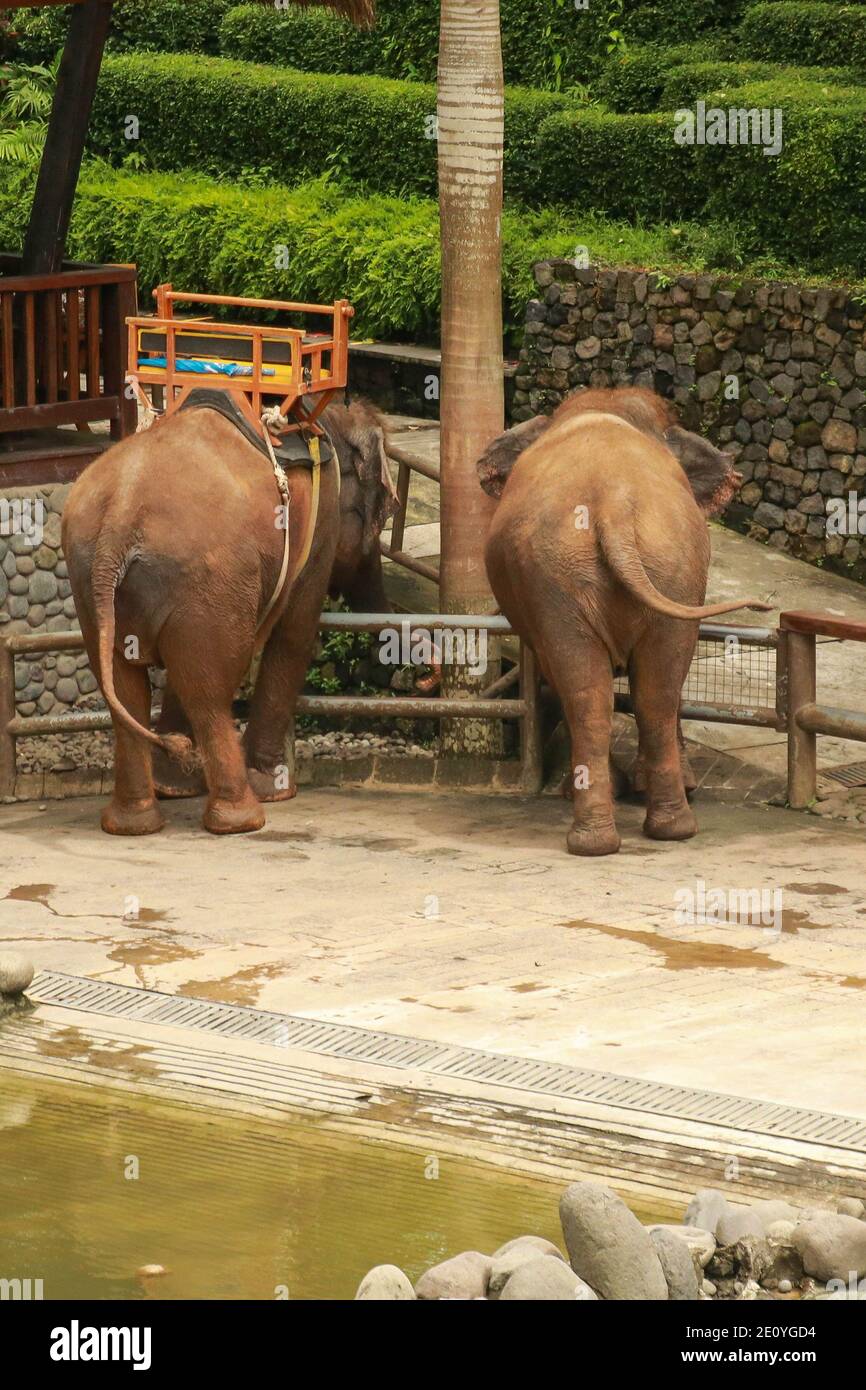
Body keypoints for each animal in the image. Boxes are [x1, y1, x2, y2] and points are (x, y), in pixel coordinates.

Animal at [62, 396, 397, 836]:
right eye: (382, 516)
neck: (326, 423)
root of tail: (118, 522)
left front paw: (176, 786)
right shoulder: (318, 522)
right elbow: (293, 633)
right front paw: (272, 788)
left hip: (94, 585)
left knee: (128, 689)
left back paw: (134, 823)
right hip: (205, 580)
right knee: (208, 694)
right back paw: (244, 819)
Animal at [476, 386, 770, 857]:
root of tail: (612, 504)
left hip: (623, 572)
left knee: (606, 693)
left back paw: (613, 831)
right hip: (639, 570)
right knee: (647, 690)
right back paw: (657, 829)